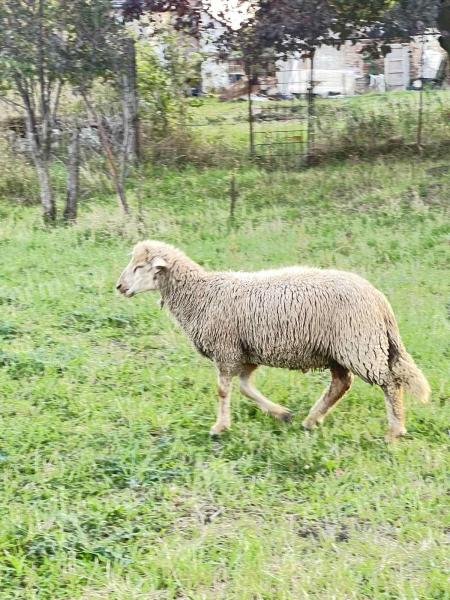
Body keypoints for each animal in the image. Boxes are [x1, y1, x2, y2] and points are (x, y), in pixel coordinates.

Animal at [116, 239, 428, 440]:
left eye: (141, 266)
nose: (119, 286)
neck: (200, 294)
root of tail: (380, 300)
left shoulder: (226, 349)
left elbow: (223, 391)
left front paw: (219, 428)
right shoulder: (245, 352)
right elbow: (245, 388)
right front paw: (281, 414)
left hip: (360, 345)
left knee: (390, 383)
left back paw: (394, 430)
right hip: (339, 350)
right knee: (341, 384)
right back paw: (310, 420)